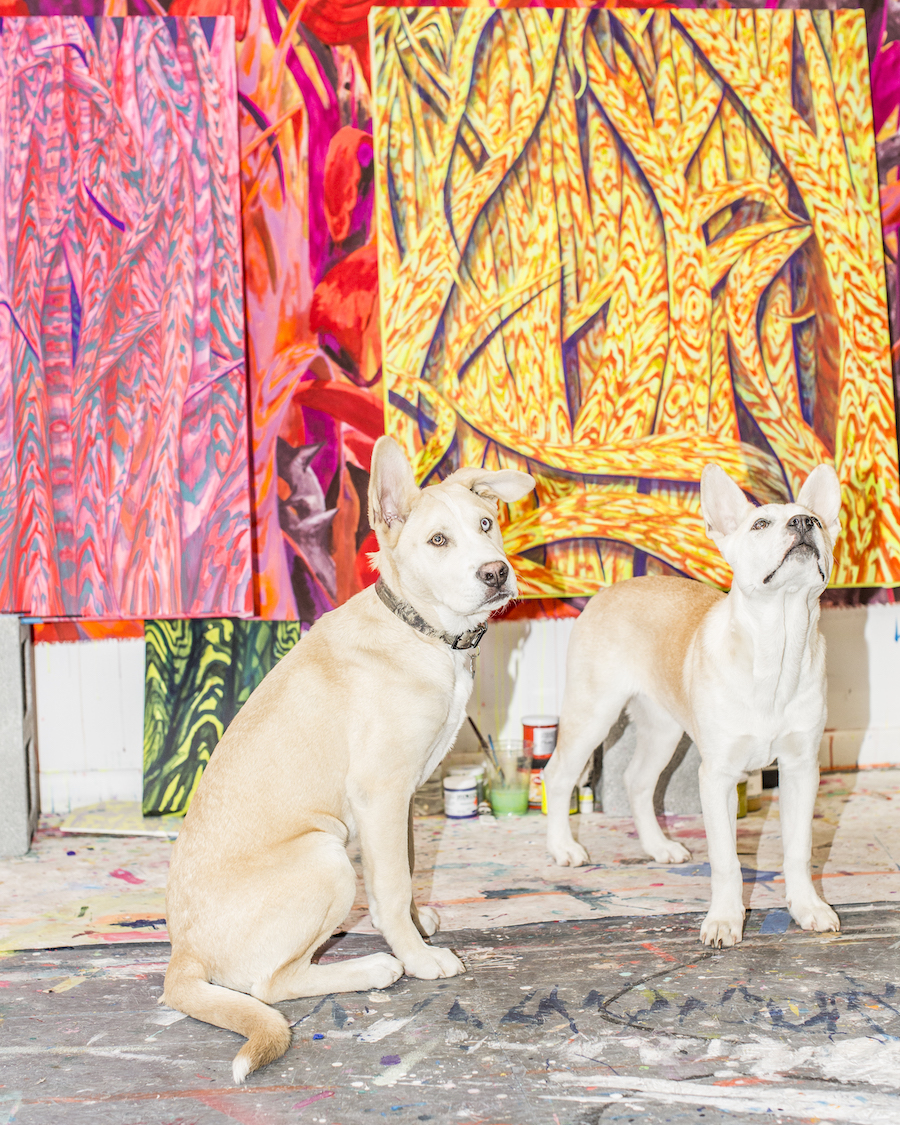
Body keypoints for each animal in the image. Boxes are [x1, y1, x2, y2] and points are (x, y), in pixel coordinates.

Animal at [163, 436, 534, 1081]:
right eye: (439, 541)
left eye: (487, 524)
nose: (495, 573)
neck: (420, 630)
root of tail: (181, 957)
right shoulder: (380, 793)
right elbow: (390, 886)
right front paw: (418, 957)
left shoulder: (404, 799)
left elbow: (406, 874)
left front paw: (418, 925)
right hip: (325, 856)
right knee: (270, 984)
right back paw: (372, 969)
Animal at [543, 462, 842, 948]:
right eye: (760, 524)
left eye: (815, 519)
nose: (803, 523)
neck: (775, 645)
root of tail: (608, 590)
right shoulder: (717, 776)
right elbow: (726, 860)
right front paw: (724, 920)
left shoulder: (801, 769)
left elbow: (797, 850)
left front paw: (808, 908)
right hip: (592, 714)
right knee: (557, 775)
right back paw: (563, 848)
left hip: (663, 730)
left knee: (637, 781)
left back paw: (659, 846)